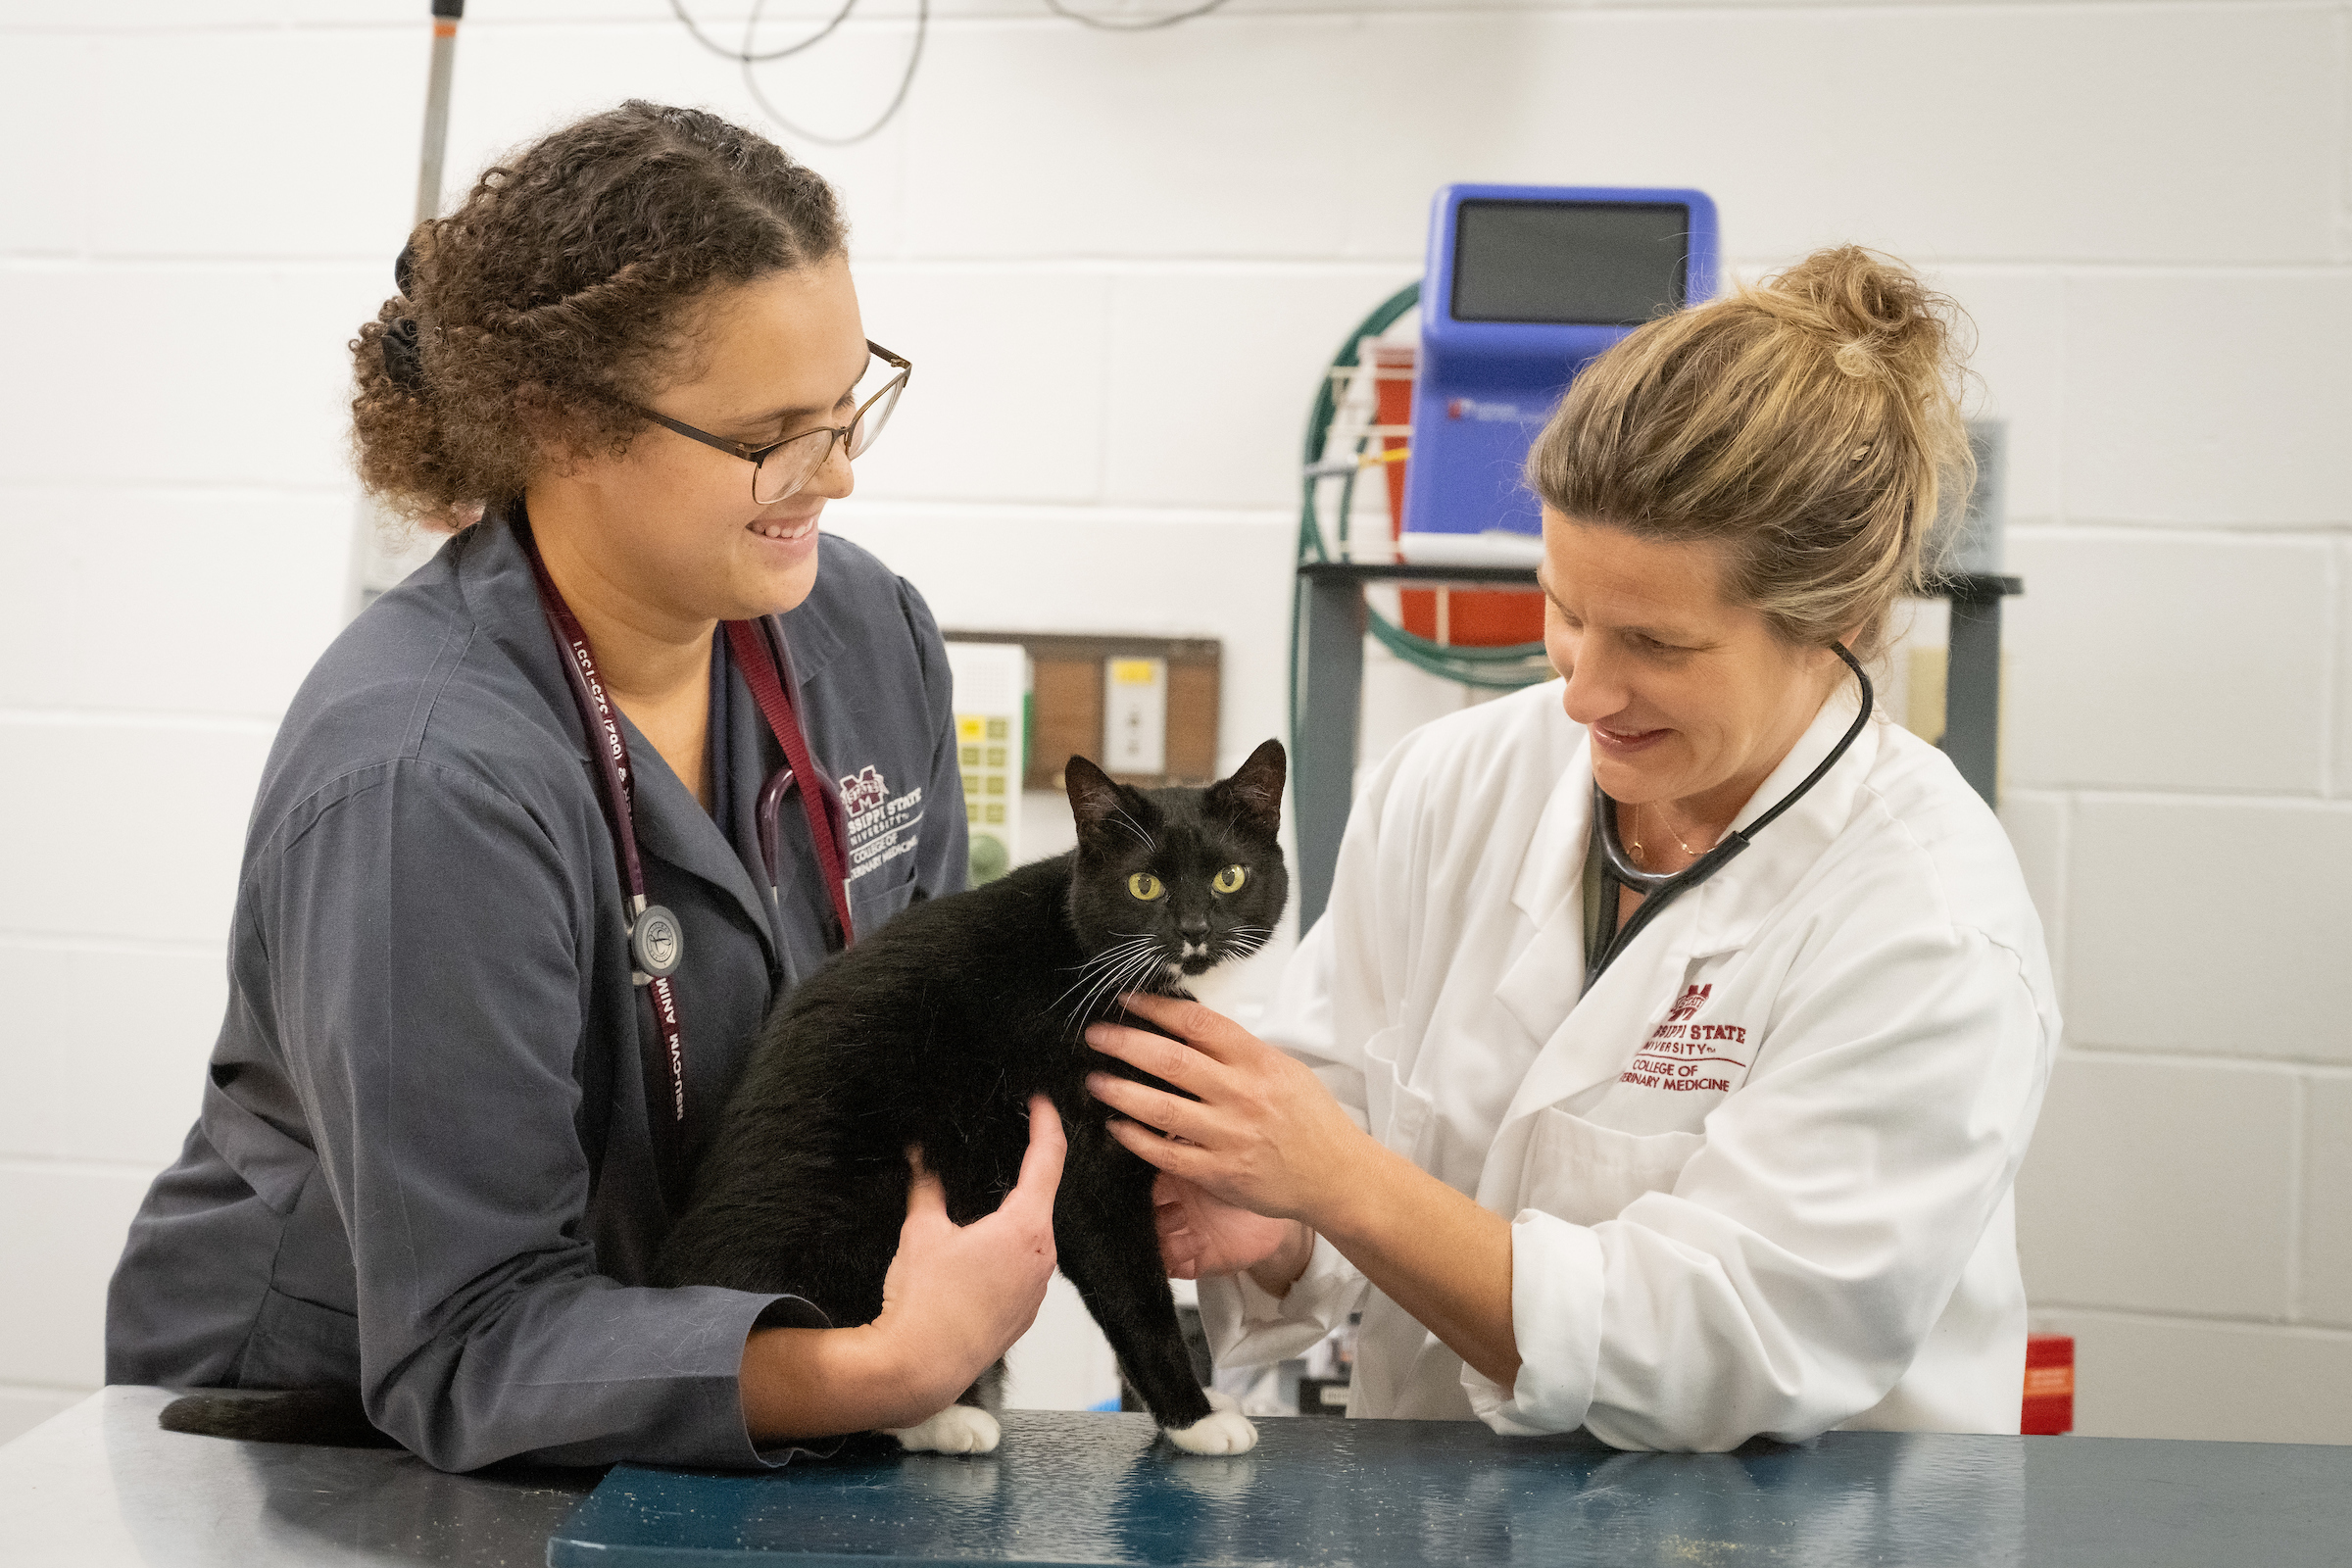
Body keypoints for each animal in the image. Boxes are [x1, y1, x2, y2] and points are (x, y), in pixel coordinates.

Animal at [654, 743, 1298, 1457]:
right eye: (1144, 886)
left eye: (1230, 878)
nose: (1194, 931)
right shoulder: (1086, 1174)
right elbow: (1138, 1300)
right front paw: (1195, 1419)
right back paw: (945, 1418)